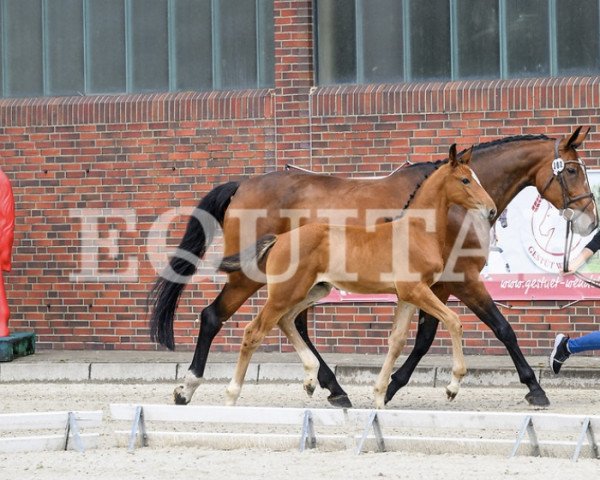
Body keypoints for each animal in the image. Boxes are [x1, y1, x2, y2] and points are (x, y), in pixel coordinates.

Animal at [220, 144, 496, 406]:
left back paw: (311, 380)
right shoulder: (415, 290)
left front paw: (380, 397)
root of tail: (279, 239)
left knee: (285, 320)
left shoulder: (407, 296)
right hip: (285, 293)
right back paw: (231, 396)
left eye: (476, 178)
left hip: (313, 290)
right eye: (465, 180)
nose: (492, 210)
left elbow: (397, 341)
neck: (417, 231)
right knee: (254, 331)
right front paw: (453, 387)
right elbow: (454, 321)